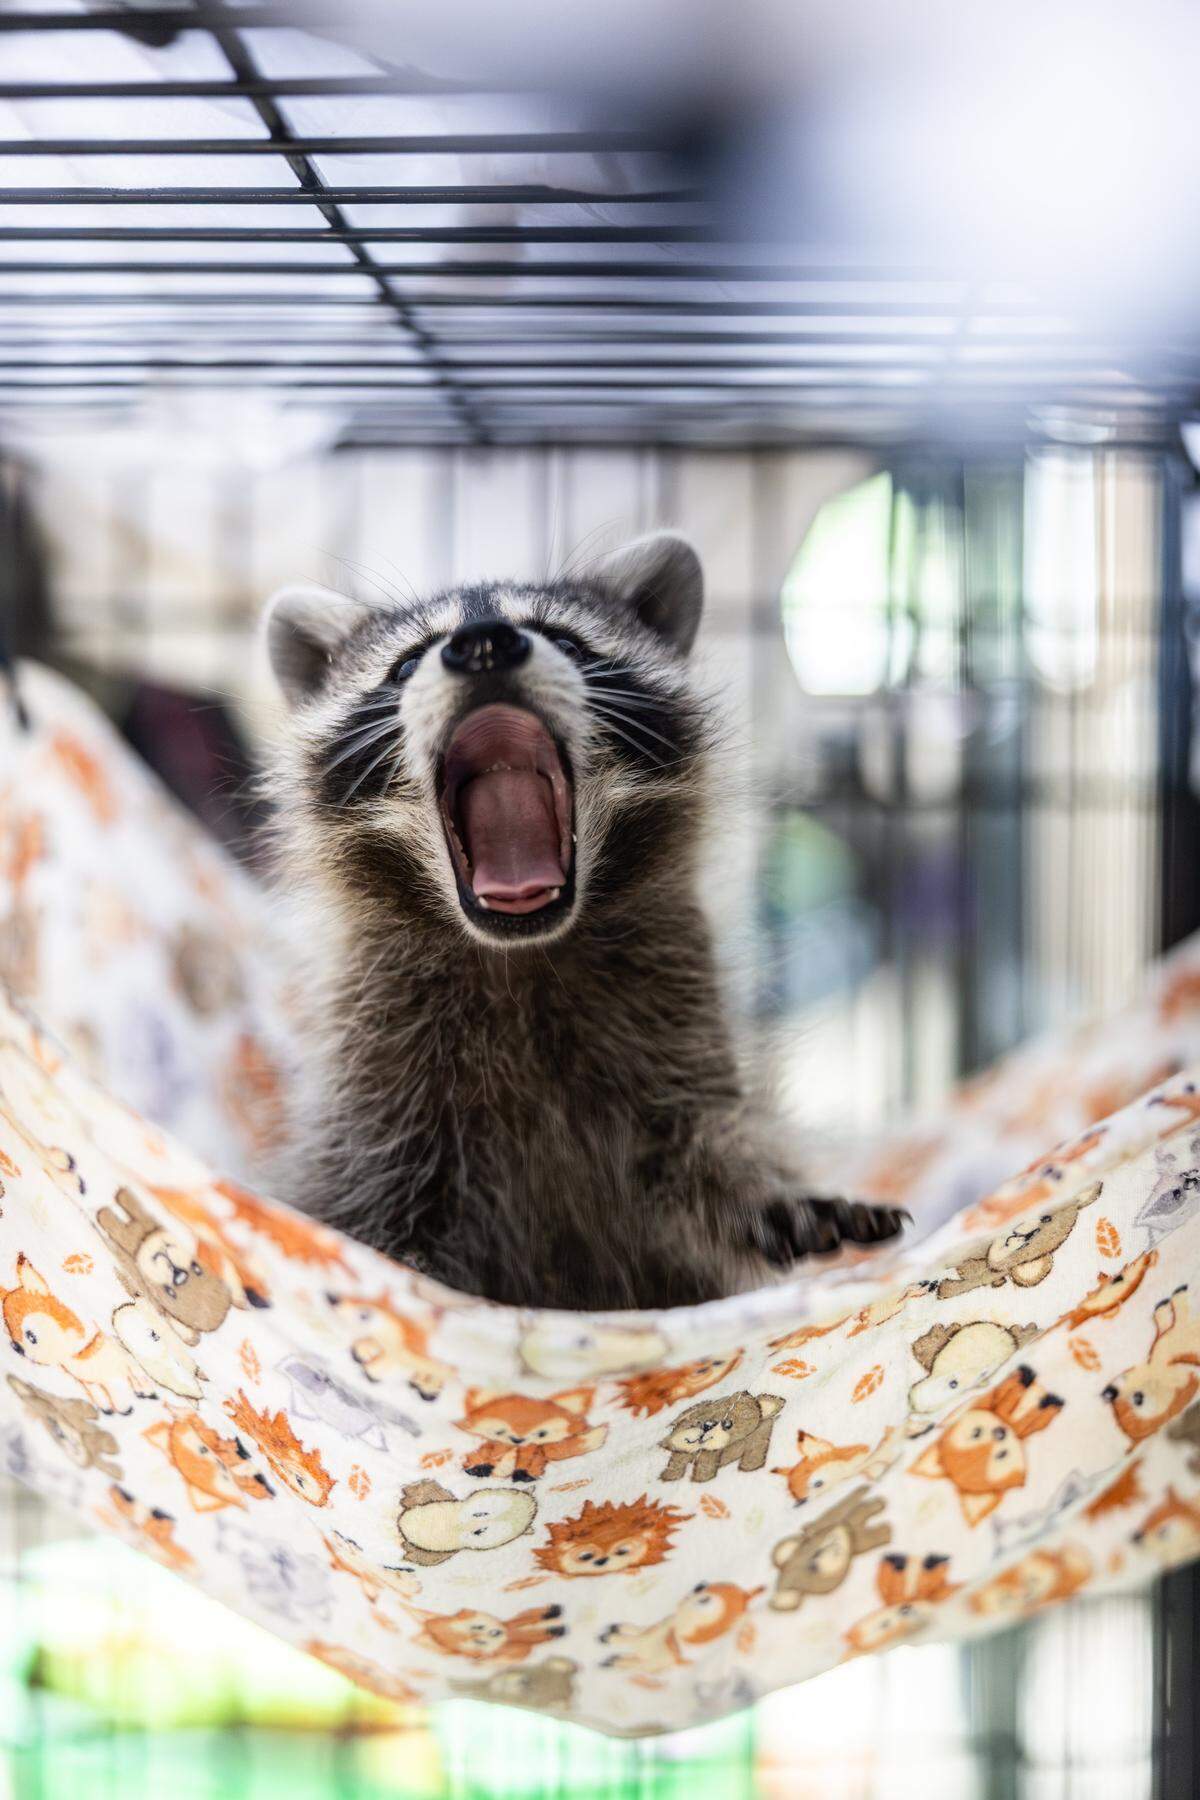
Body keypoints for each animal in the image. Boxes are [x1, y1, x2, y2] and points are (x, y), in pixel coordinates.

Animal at [262, 531, 905, 1308]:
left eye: (565, 639)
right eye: (407, 662)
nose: (483, 644)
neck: (521, 952)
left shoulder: (676, 1009)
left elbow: (697, 1145)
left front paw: (761, 1191)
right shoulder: (375, 1063)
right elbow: (367, 1194)